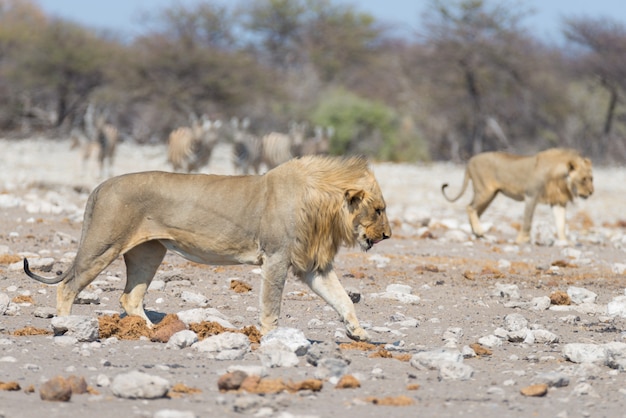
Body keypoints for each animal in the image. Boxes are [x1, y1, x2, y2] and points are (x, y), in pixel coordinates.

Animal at [24, 155, 390, 342]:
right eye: (379, 209)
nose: (388, 235)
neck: (324, 208)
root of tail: (100, 185)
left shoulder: (312, 266)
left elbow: (342, 299)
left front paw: (359, 333)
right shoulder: (276, 257)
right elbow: (271, 304)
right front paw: (272, 337)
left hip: (149, 252)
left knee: (130, 297)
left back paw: (153, 331)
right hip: (104, 244)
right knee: (69, 286)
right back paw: (65, 326)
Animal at [438, 148, 588, 243]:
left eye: (591, 178)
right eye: (584, 179)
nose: (590, 192)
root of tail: (470, 161)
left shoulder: (558, 201)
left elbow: (561, 222)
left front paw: (564, 241)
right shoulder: (531, 196)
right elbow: (527, 219)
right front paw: (522, 239)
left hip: (490, 194)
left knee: (476, 211)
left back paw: (480, 235)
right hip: (484, 190)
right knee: (470, 207)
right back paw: (480, 232)